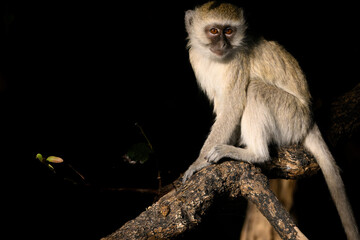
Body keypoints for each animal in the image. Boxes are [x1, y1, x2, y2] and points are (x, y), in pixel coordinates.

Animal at [184, 1, 358, 238]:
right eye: (213, 31)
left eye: (228, 31)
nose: (222, 43)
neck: (214, 58)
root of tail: (309, 120)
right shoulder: (195, 59)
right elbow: (225, 109)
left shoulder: (238, 62)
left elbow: (233, 107)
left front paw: (198, 162)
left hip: (291, 117)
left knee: (254, 89)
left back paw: (254, 153)